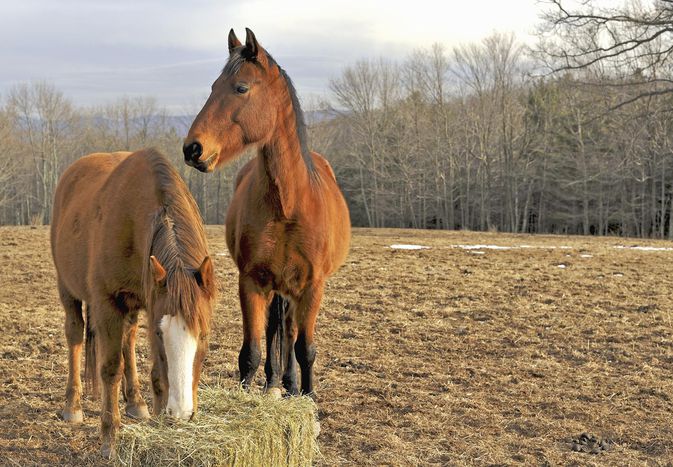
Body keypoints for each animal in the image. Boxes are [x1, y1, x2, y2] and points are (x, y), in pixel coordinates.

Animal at [50, 148, 216, 458]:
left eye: (204, 335)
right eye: (160, 334)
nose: (183, 412)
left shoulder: (149, 301)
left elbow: (157, 373)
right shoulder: (107, 304)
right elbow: (110, 369)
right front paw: (109, 439)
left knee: (127, 339)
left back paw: (136, 403)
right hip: (68, 290)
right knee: (75, 335)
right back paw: (72, 406)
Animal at [182, 28, 350, 397]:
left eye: (241, 88)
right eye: (213, 86)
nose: (192, 148)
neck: (288, 203)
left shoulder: (312, 286)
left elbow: (305, 348)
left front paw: (308, 395)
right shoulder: (251, 282)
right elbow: (252, 351)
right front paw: (250, 391)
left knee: (289, 331)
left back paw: (289, 383)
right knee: (276, 328)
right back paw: (275, 381)